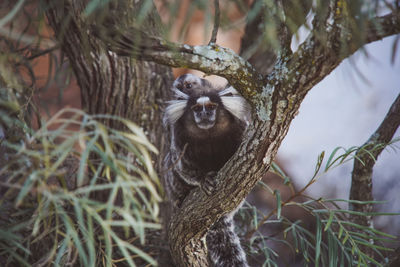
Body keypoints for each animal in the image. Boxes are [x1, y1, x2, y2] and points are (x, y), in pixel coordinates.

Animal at [163, 74, 250, 267]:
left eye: (211, 107)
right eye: (196, 108)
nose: (204, 114)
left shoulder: (240, 125)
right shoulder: (178, 133)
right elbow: (180, 164)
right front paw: (203, 179)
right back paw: (181, 197)